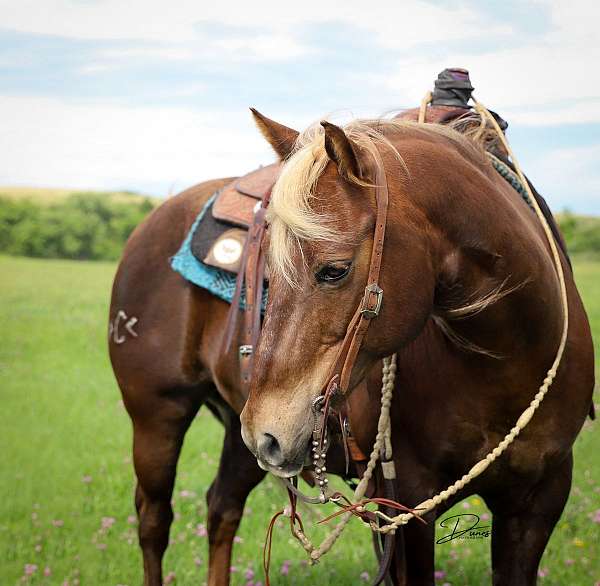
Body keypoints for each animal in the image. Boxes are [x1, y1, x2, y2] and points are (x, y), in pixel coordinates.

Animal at [239, 110, 596, 584]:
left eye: (334, 270)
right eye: (269, 275)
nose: (263, 433)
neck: (506, 362)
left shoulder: (539, 501)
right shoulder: (406, 508)